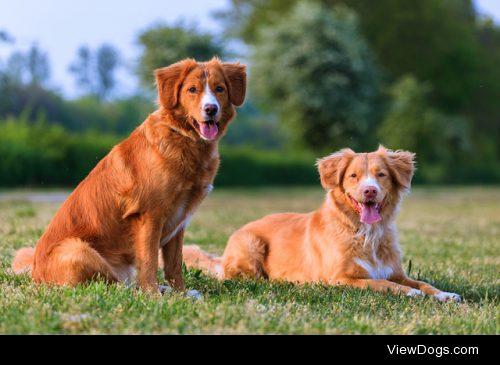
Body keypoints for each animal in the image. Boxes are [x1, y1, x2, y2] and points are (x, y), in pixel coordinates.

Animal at [184, 146, 460, 302]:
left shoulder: (397, 272)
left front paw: (443, 294)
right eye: (353, 176)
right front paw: (411, 294)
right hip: (250, 244)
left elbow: (422, 283)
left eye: (381, 175)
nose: (370, 191)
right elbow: (380, 283)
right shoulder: (338, 279)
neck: (366, 233)